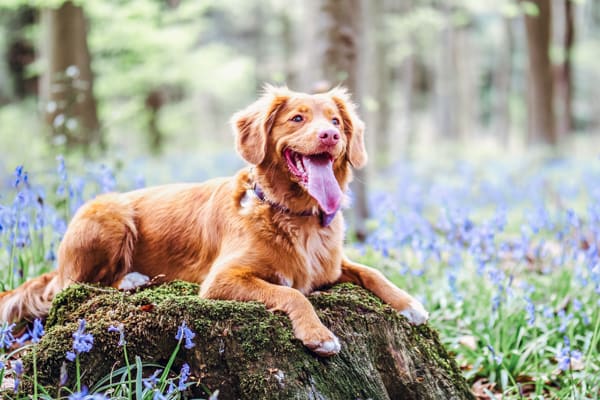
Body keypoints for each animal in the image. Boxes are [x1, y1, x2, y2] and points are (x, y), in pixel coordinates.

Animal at [1, 86, 432, 354]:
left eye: (337, 121)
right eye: (297, 118)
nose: (330, 136)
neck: (294, 216)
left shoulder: (329, 266)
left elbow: (371, 271)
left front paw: (409, 303)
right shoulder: (222, 280)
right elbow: (292, 293)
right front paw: (318, 334)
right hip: (109, 215)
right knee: (76, 285)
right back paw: (131, 279)